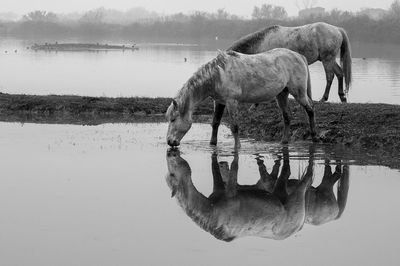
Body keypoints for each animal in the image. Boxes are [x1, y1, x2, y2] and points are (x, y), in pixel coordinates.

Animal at [166, 47, 316, 148]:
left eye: (173, 119)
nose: (169, 142)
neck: (218, 74)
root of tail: (299, 56)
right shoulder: (219, 102)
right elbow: (215, 122)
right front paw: (212, 144)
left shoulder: (231, 102)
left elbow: (235, 127)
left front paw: (237, 147)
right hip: (282, 94)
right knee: (287, 117)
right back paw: (284, 141)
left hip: (299, 93)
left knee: (310, 110)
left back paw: (314, 136)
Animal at [211, 22, 352, 147]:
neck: (262, 42)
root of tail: (337, 29)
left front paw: (254, 105)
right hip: (328, 59)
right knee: (340, 73)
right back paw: (342, 96)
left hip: (327, 59)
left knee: (330, 77)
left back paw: (324, 98)